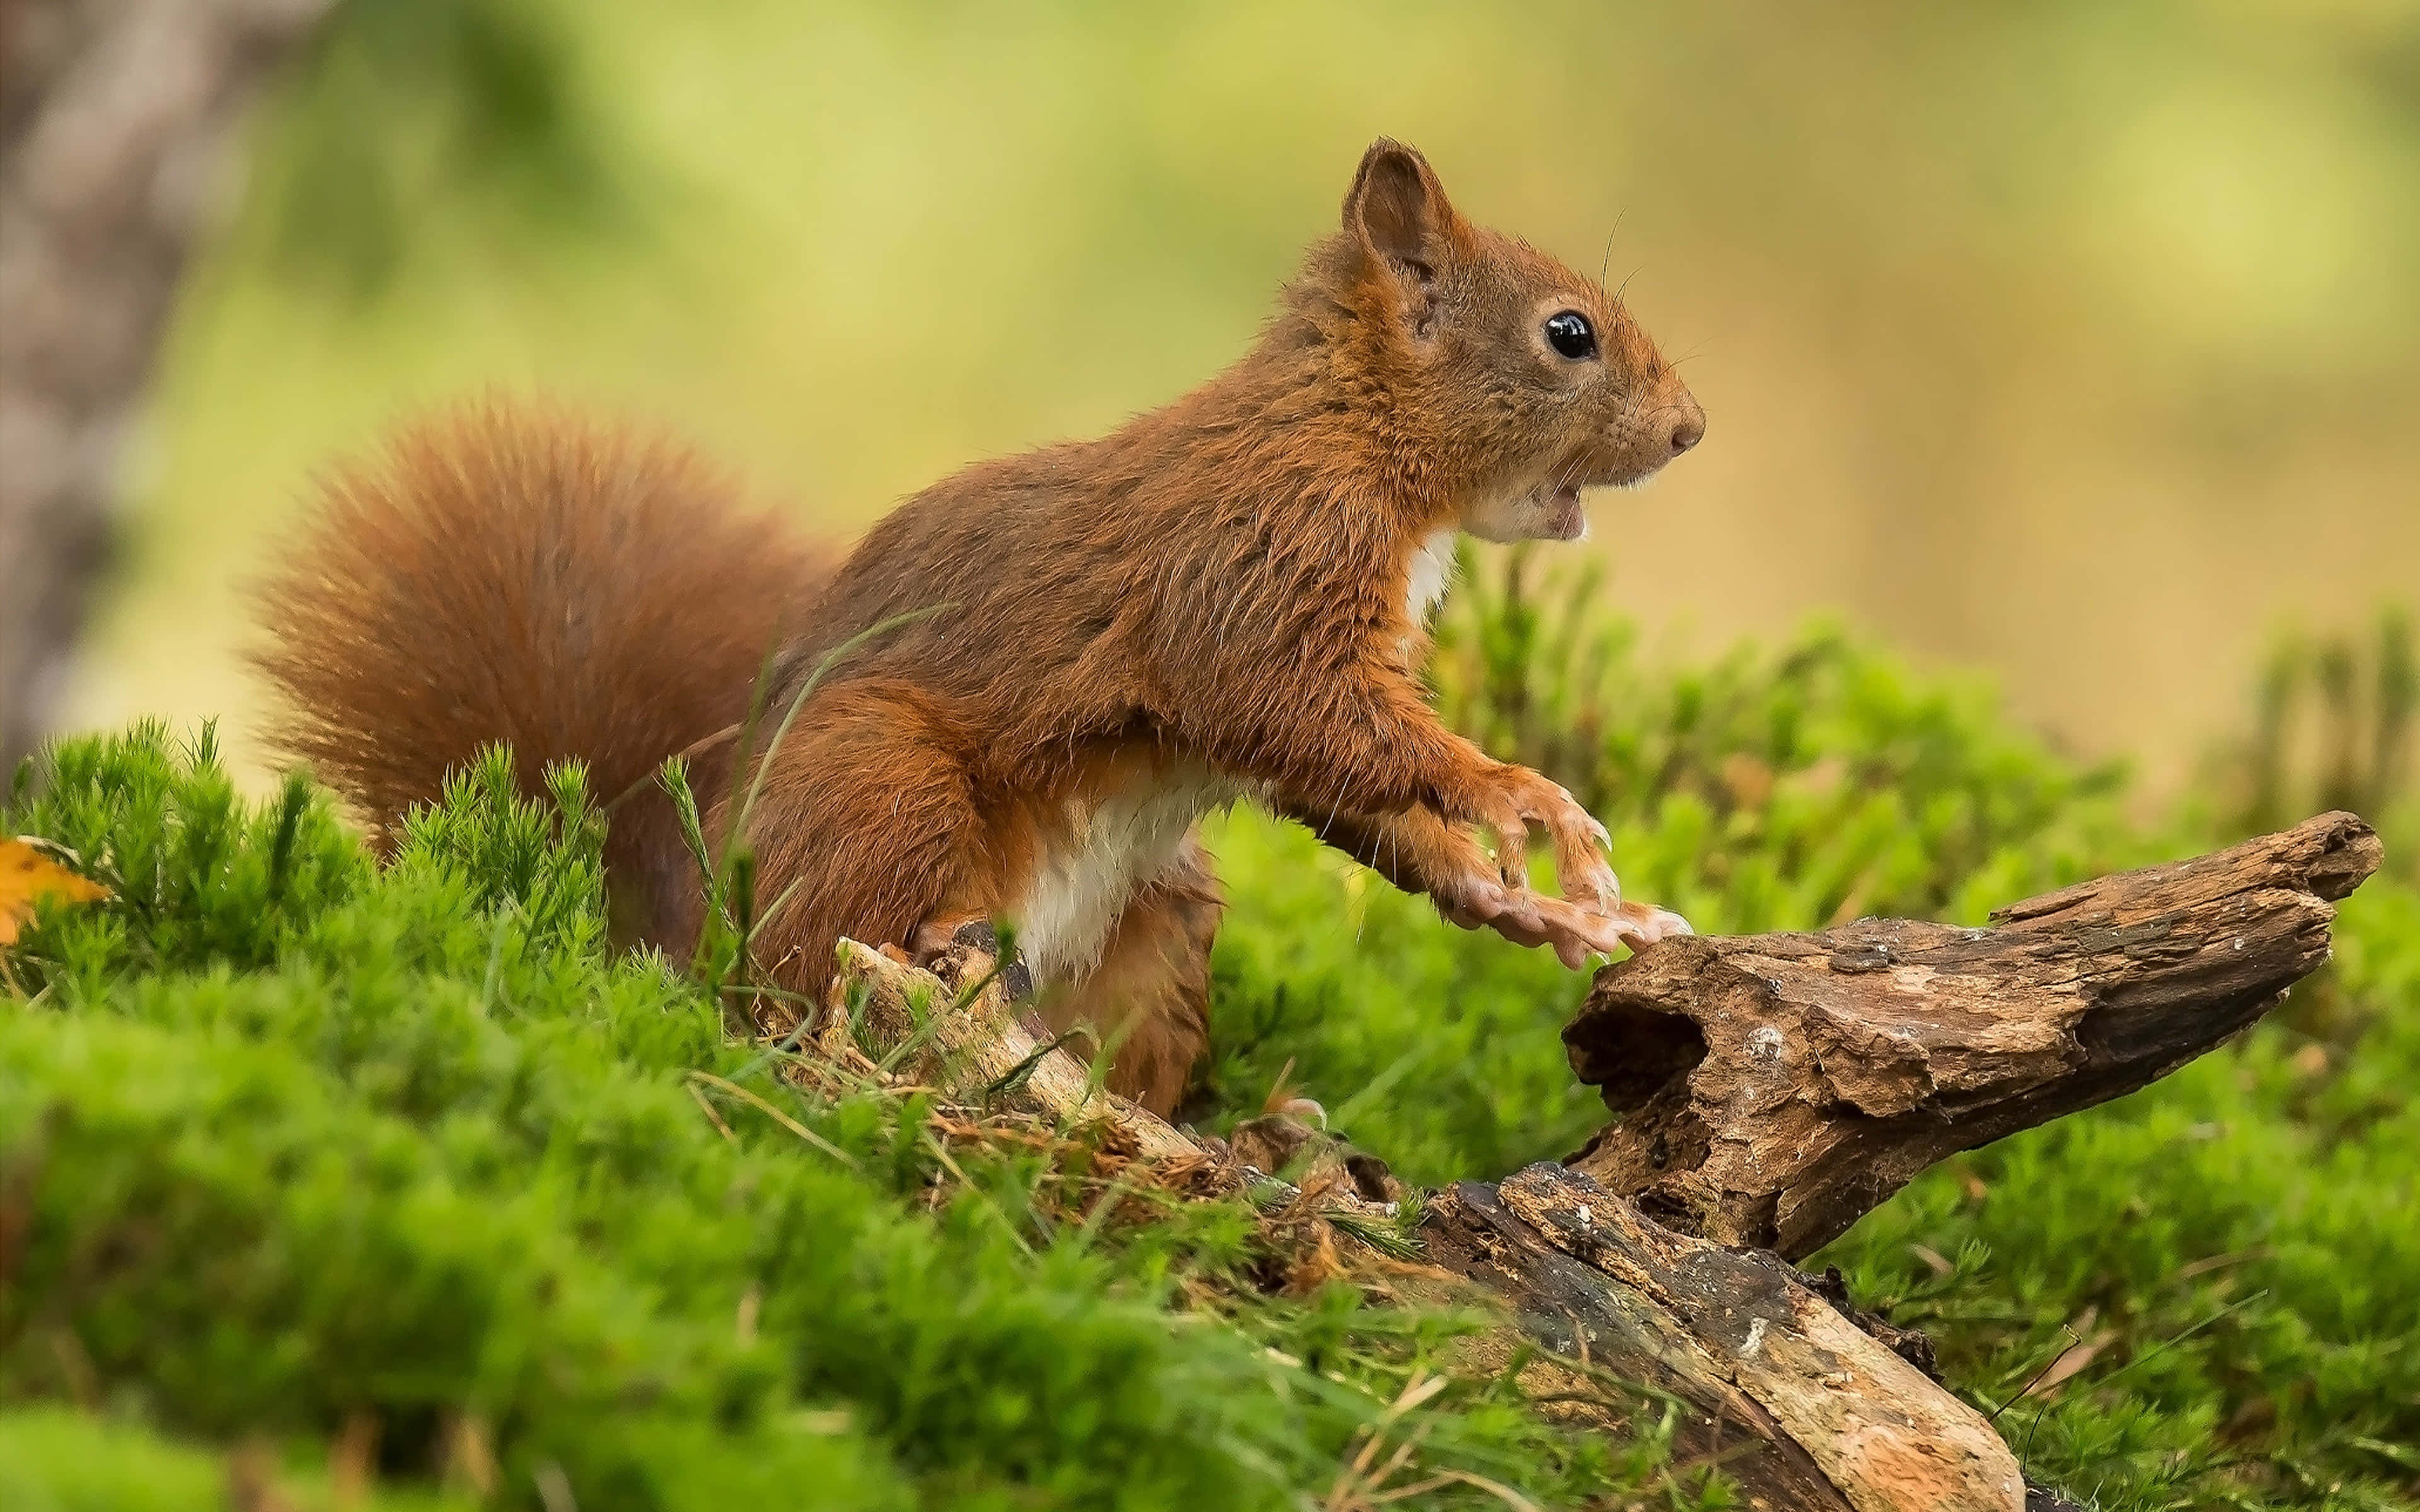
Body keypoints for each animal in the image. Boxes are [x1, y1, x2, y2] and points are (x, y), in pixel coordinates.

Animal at [253, 139, 1705, 1116]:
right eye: (1569, 334)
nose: (1692, 429)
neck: (1357, 440)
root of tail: (686, 947)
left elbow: (1349, 790)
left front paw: (1540, 912)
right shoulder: (1252, 570)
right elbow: (1299, 711)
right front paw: (1523, 799)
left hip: (1159, 930)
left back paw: (1243, 1138)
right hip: (884, 784)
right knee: (814, 977)